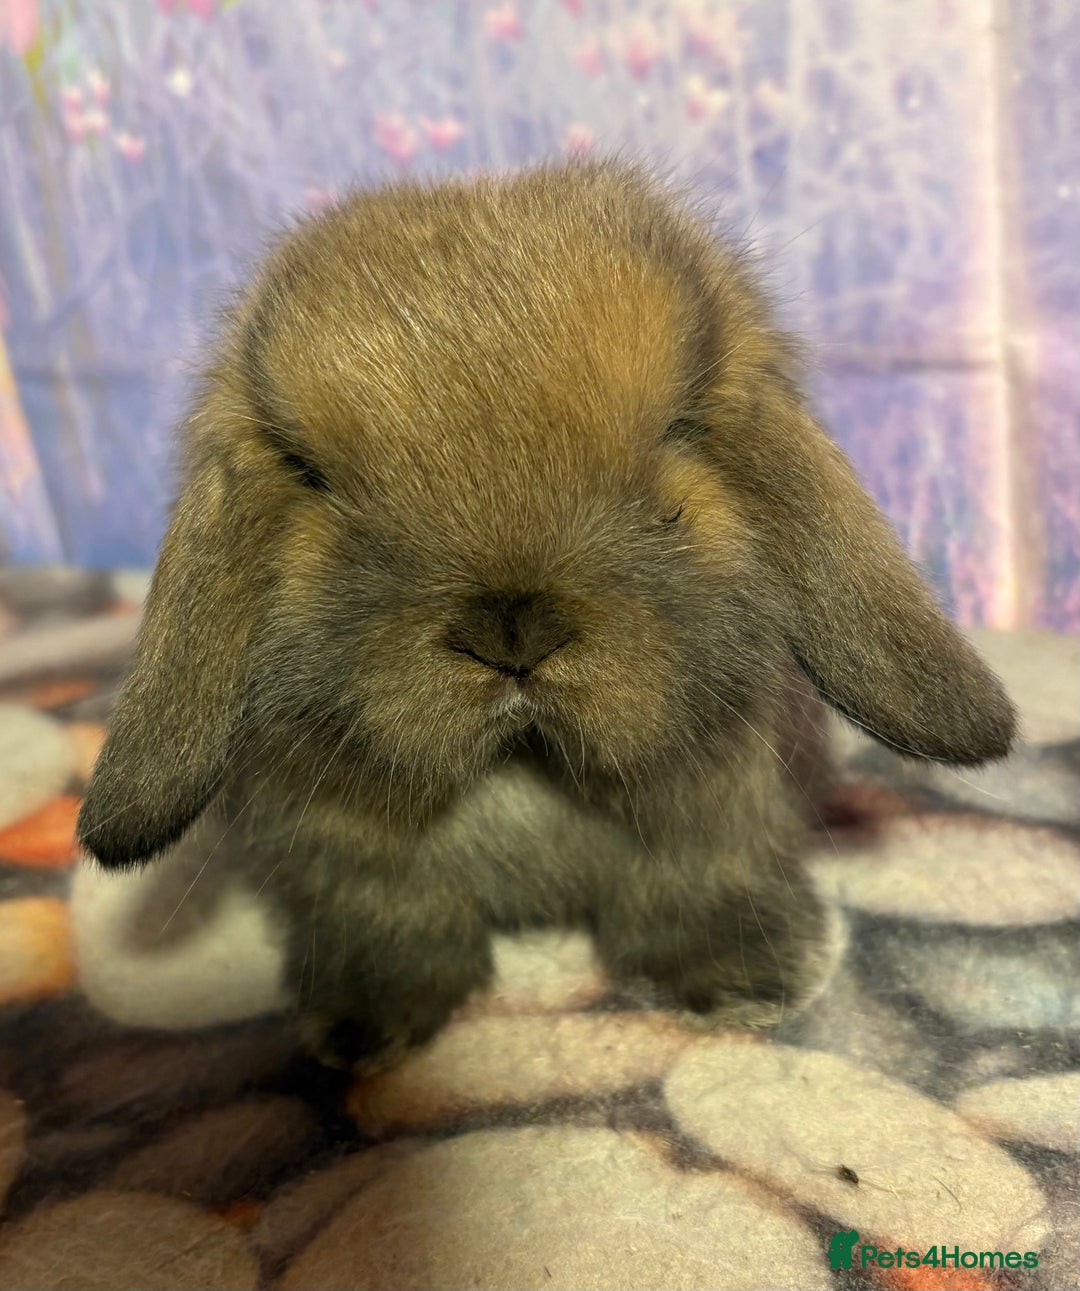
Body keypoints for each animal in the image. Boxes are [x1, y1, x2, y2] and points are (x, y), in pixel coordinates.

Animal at [76, 160, 1017, 1073]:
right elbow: (389, 920)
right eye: (312, 477)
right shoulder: (345, 857)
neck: (521, 764)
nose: (511, 633)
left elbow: (697, 883)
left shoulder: (716, 820)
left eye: (676, 441)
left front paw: (741, 984)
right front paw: (363, 1027)